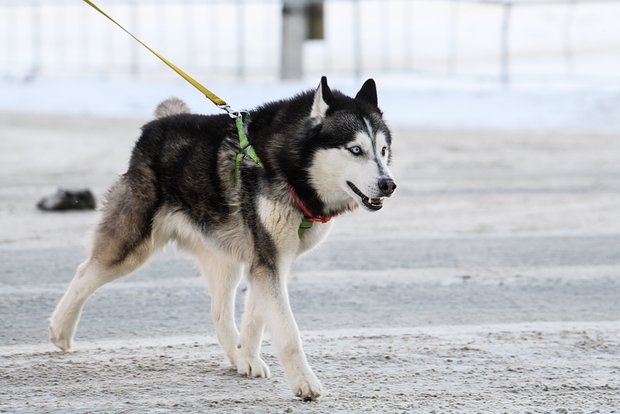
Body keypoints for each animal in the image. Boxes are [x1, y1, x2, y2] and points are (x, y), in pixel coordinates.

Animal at [49, 77, 398, 402]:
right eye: (355, 150)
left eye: (383, 151)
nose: (389, 184)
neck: (290, 168)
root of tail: (158, 124)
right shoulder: (267, 261)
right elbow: (287, 332)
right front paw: (304, 383)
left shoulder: (269, 261)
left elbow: (256, 320)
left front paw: (248, 356)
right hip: (132, 245)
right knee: (85, 273)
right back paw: (60, 331)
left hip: (225, 258)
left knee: (218, 313)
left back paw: (237, 355)